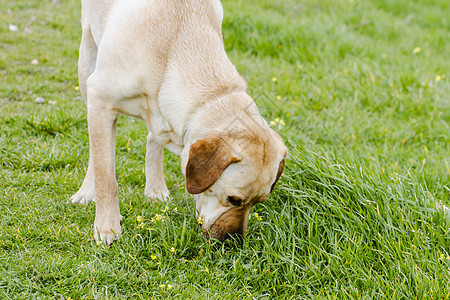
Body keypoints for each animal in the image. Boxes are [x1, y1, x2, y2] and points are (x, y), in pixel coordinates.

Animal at [70, 0, 288, 245]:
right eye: (233, 199)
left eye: (258, 202)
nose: (233, 241)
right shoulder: (100, 99)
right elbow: (107, 177)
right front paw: (107, 227)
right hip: (86, 61)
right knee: (97, 154)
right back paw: (87, 191)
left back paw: (155, 189)